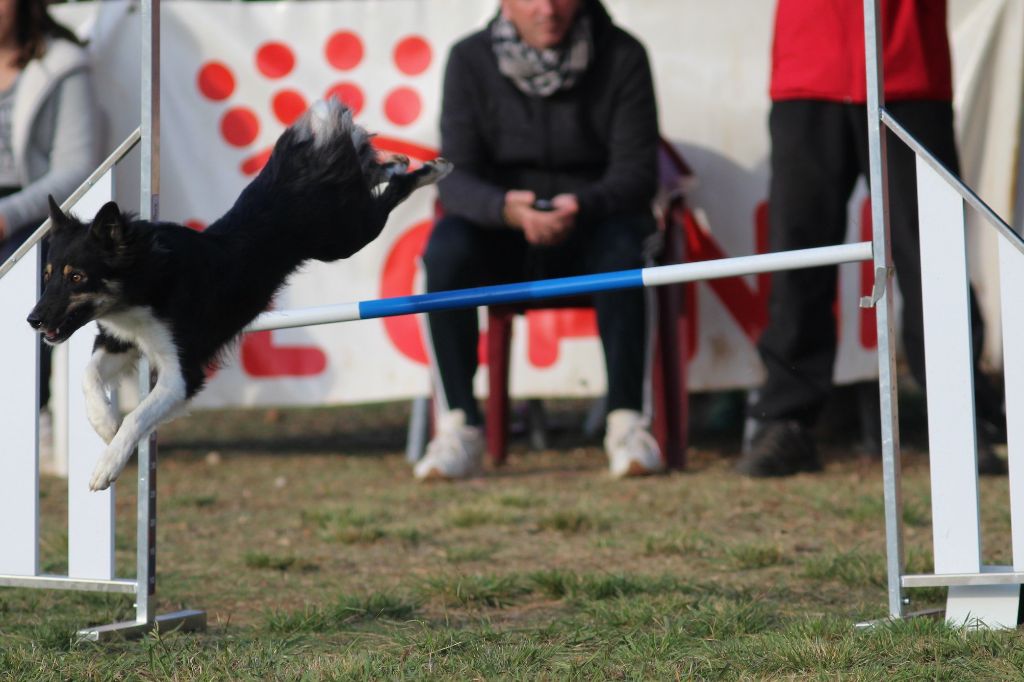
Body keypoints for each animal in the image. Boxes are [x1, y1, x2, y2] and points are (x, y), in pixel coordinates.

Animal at [25, 98, 450, 485]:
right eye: (47, 274)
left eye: (77, 277)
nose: (33, 320)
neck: (147, 278)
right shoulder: (120, 340)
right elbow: (89, 376)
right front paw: (104, 423)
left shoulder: (184, 371)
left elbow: (138, 415)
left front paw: (107, 464)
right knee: (370, 165)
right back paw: (396, 158)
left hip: (348, 235)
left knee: (390, 190)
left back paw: (431, 168)